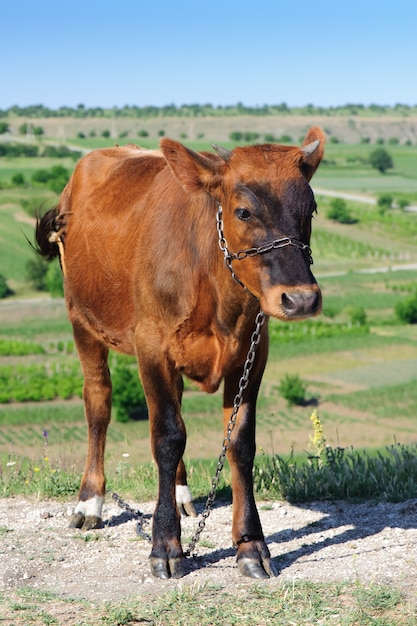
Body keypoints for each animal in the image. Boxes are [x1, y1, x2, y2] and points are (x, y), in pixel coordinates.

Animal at [35, 128, 324, 580]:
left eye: (310, 209)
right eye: (243, 212)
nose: (301, 299)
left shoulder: (253, 352)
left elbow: (239, 441)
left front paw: (250, 544)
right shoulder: (151, 348)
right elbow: (167, 437)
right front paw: (165, 545)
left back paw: (182, 493)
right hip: (81, 319)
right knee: (98, 403)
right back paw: (90, 502)